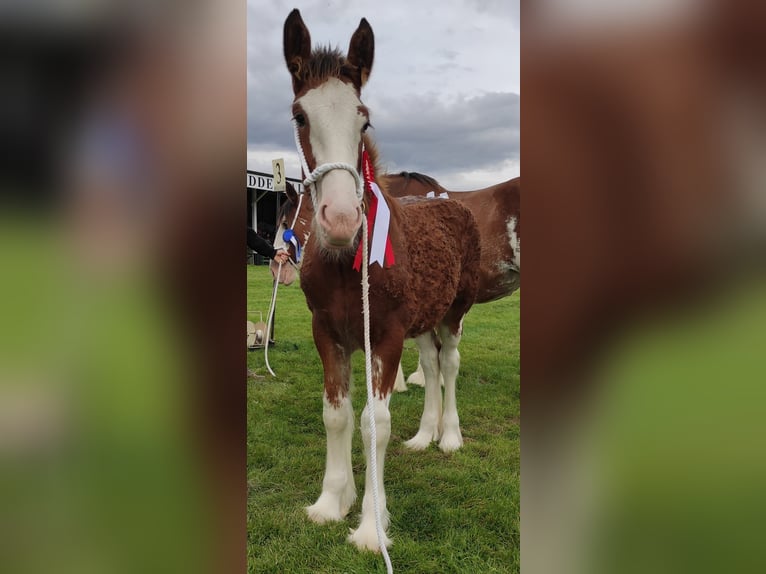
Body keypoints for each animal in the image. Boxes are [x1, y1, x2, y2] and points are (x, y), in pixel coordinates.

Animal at [282, 10, 484, 552]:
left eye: (364, 118)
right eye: (300, 116)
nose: (339, 219)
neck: (345, 264)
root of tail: (448, 200)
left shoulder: (386, 336)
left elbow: (375, 423)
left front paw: (372, 527)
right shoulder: (328, 333)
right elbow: (337, 414)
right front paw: (332, 503)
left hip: (453, 313)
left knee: (449, 363)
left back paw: (449, 437)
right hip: (425, 322)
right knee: (431, 366)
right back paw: (424, 436)